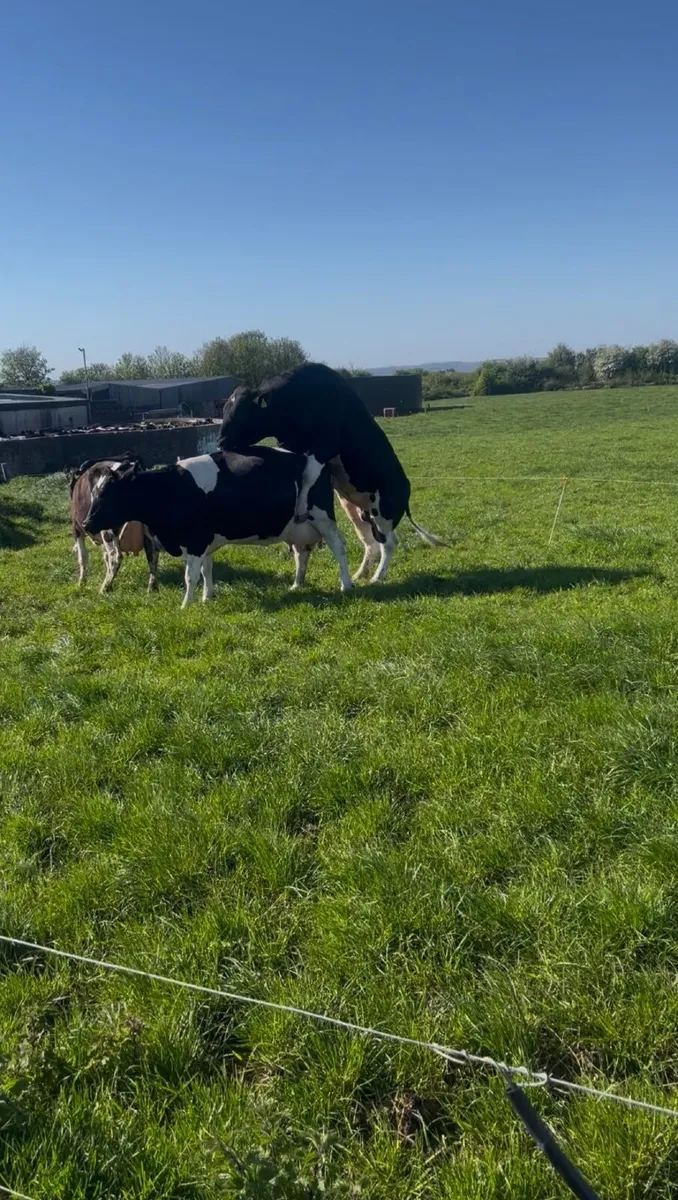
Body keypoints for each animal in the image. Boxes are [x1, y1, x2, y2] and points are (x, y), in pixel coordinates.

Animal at [67, 457, 160, 594]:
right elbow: (105, 556)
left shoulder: (77, 528)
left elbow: (82, 557)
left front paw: (81, 583)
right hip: (149, 531)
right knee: (153, 554)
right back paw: (151, 588)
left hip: (107, 530)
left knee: (116, 557)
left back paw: (105, 587)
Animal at [83, 447, 352, 607]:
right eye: (93, 493)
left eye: (107, 494)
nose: (86, 523)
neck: (172, 489)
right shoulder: (205, 542)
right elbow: (206, 571)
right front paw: (206, 598)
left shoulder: (196, 540)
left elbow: (190, 576)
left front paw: (186, 605)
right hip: (297, 526)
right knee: (301, 553)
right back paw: (296, 584)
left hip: (323, 517)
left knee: (339, 547)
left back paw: (346, 585)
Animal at [216, 362, 446, 583]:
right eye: (224, 410)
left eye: (243, 414)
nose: (220, 442)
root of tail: (406, 486)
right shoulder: (290, 445)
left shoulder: (325, 446)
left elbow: (308, 475)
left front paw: (301, 507)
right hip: (357, 511)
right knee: (370, 543)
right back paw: (359, 574)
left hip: (383, 513)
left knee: (389, 544)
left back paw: (376, 577)